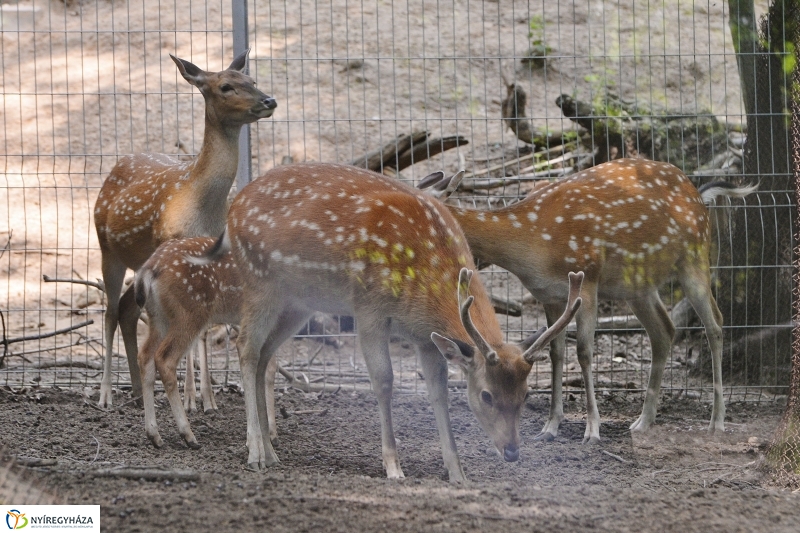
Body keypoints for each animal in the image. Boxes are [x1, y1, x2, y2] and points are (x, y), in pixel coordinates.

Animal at [92, 51, 276, 408]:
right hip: (107, 249)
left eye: (253, 80)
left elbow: (202, 330)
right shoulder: (172, 244)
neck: (200, 202)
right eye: (226, 86)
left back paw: (138, 392)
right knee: (109, 311)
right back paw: (105, 393)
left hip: (142, 264)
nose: (269, 100)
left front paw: (207, 397)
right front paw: (191, 397)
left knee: (127, 310)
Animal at [133, 237, 280, 448]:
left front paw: (269, 433)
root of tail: (150, 268)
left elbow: (268, 369)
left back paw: (155, 435)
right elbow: (264, 368)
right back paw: (188, 435)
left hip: (158, 317)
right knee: (165, 358)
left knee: (145, 356)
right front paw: (266, 434)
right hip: (189, 312)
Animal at [191, 160, 584, 480]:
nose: (513, 451)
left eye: (525, 394)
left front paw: (457, 472)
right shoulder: (369, 309)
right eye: (486, 395)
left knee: (264, 356)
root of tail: (232, 211)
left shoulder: (424, 335)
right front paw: (394, 466)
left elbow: (438, 391)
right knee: (246, 346)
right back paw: (256, 453)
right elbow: (384, 382)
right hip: (260, 282)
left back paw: (272, 453)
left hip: (298, 303)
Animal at [416, 157, 760, 440]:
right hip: (637, 285)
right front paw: (550, 426)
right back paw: (643, 421)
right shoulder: (549, 295)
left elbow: (584, 351)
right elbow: (555, 353)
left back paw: (717, 421)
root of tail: (699, 194)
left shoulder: (587, 278)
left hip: (695, 255)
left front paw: (592, 429)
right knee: (664, 331)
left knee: (715, 324)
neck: (531, 241)